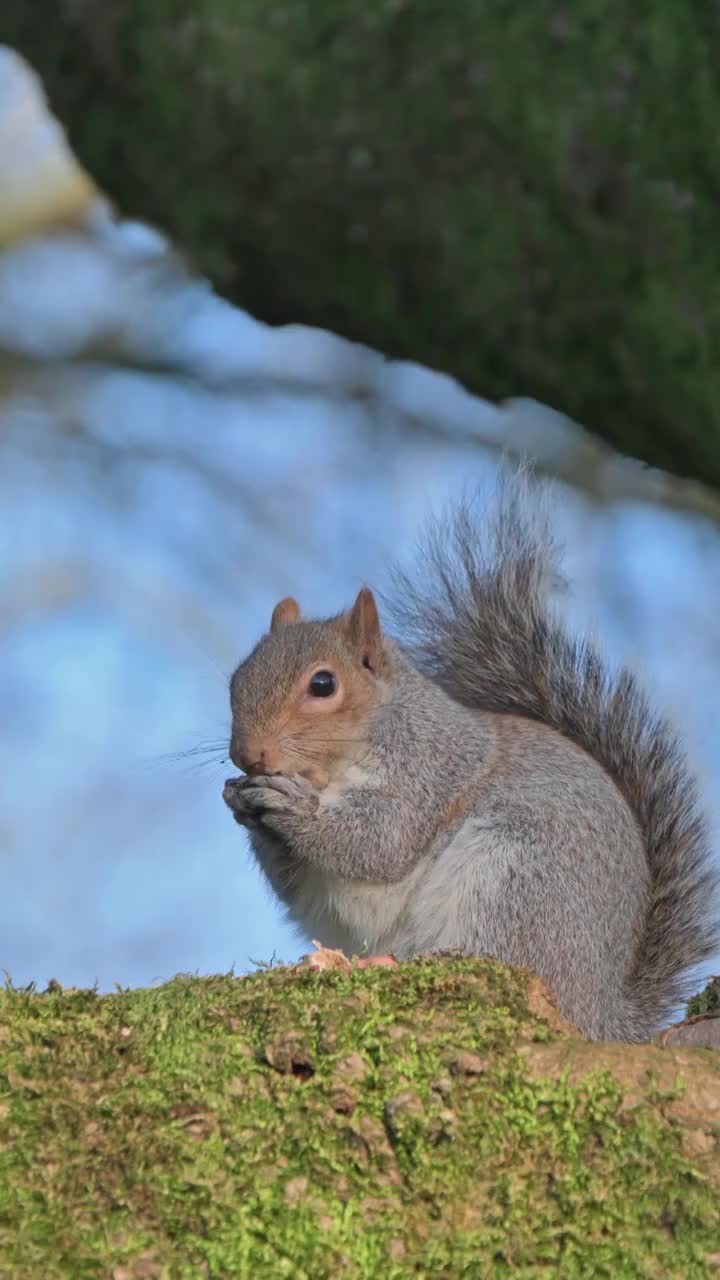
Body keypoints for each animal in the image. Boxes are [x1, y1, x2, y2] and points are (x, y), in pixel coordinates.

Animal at [221, 473, 712, 1039]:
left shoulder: (431, 769)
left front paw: (293, 809)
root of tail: (600, 1014)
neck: (332, 772)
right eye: (237, 677)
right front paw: (241, 803)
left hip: (515, 883)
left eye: (323, 684)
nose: (248, 756)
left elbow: (380, 841)